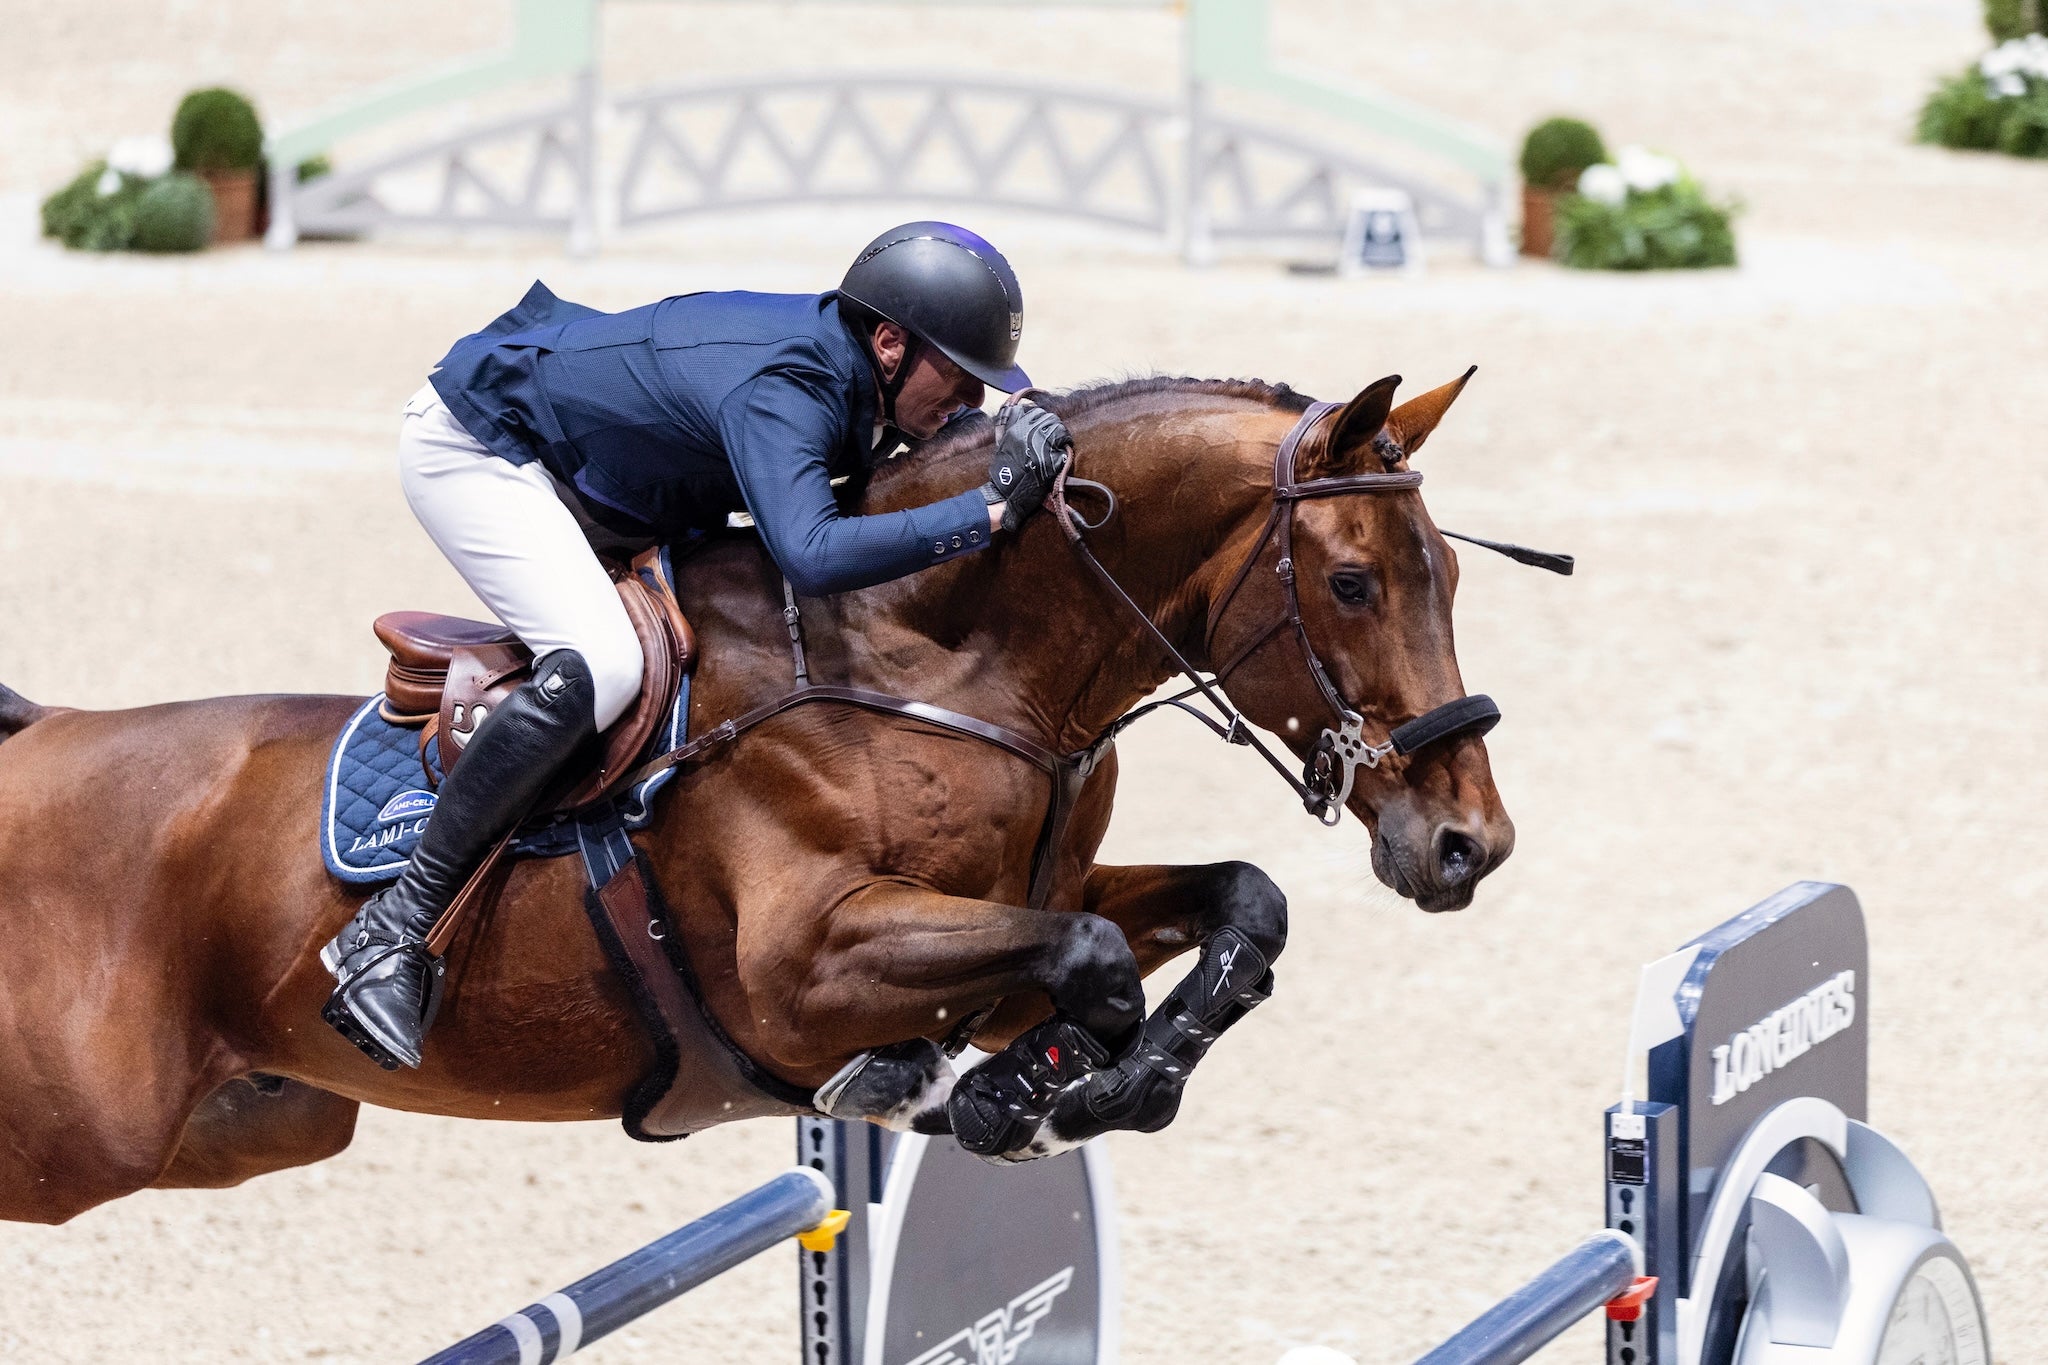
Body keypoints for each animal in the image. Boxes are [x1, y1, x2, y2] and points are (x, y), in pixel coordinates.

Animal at [0, 370, 1514, 1224]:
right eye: (1353, 582)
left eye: (1449, 569)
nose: (1468, 843)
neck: (941, 658)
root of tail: (42, 738)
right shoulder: (806, 964)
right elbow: (1085, 961)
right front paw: (1002, 1092)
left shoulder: (1024, 905)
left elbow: (1231, 910)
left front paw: (1084, 1086)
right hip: (79, 1138)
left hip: (262, 1119)